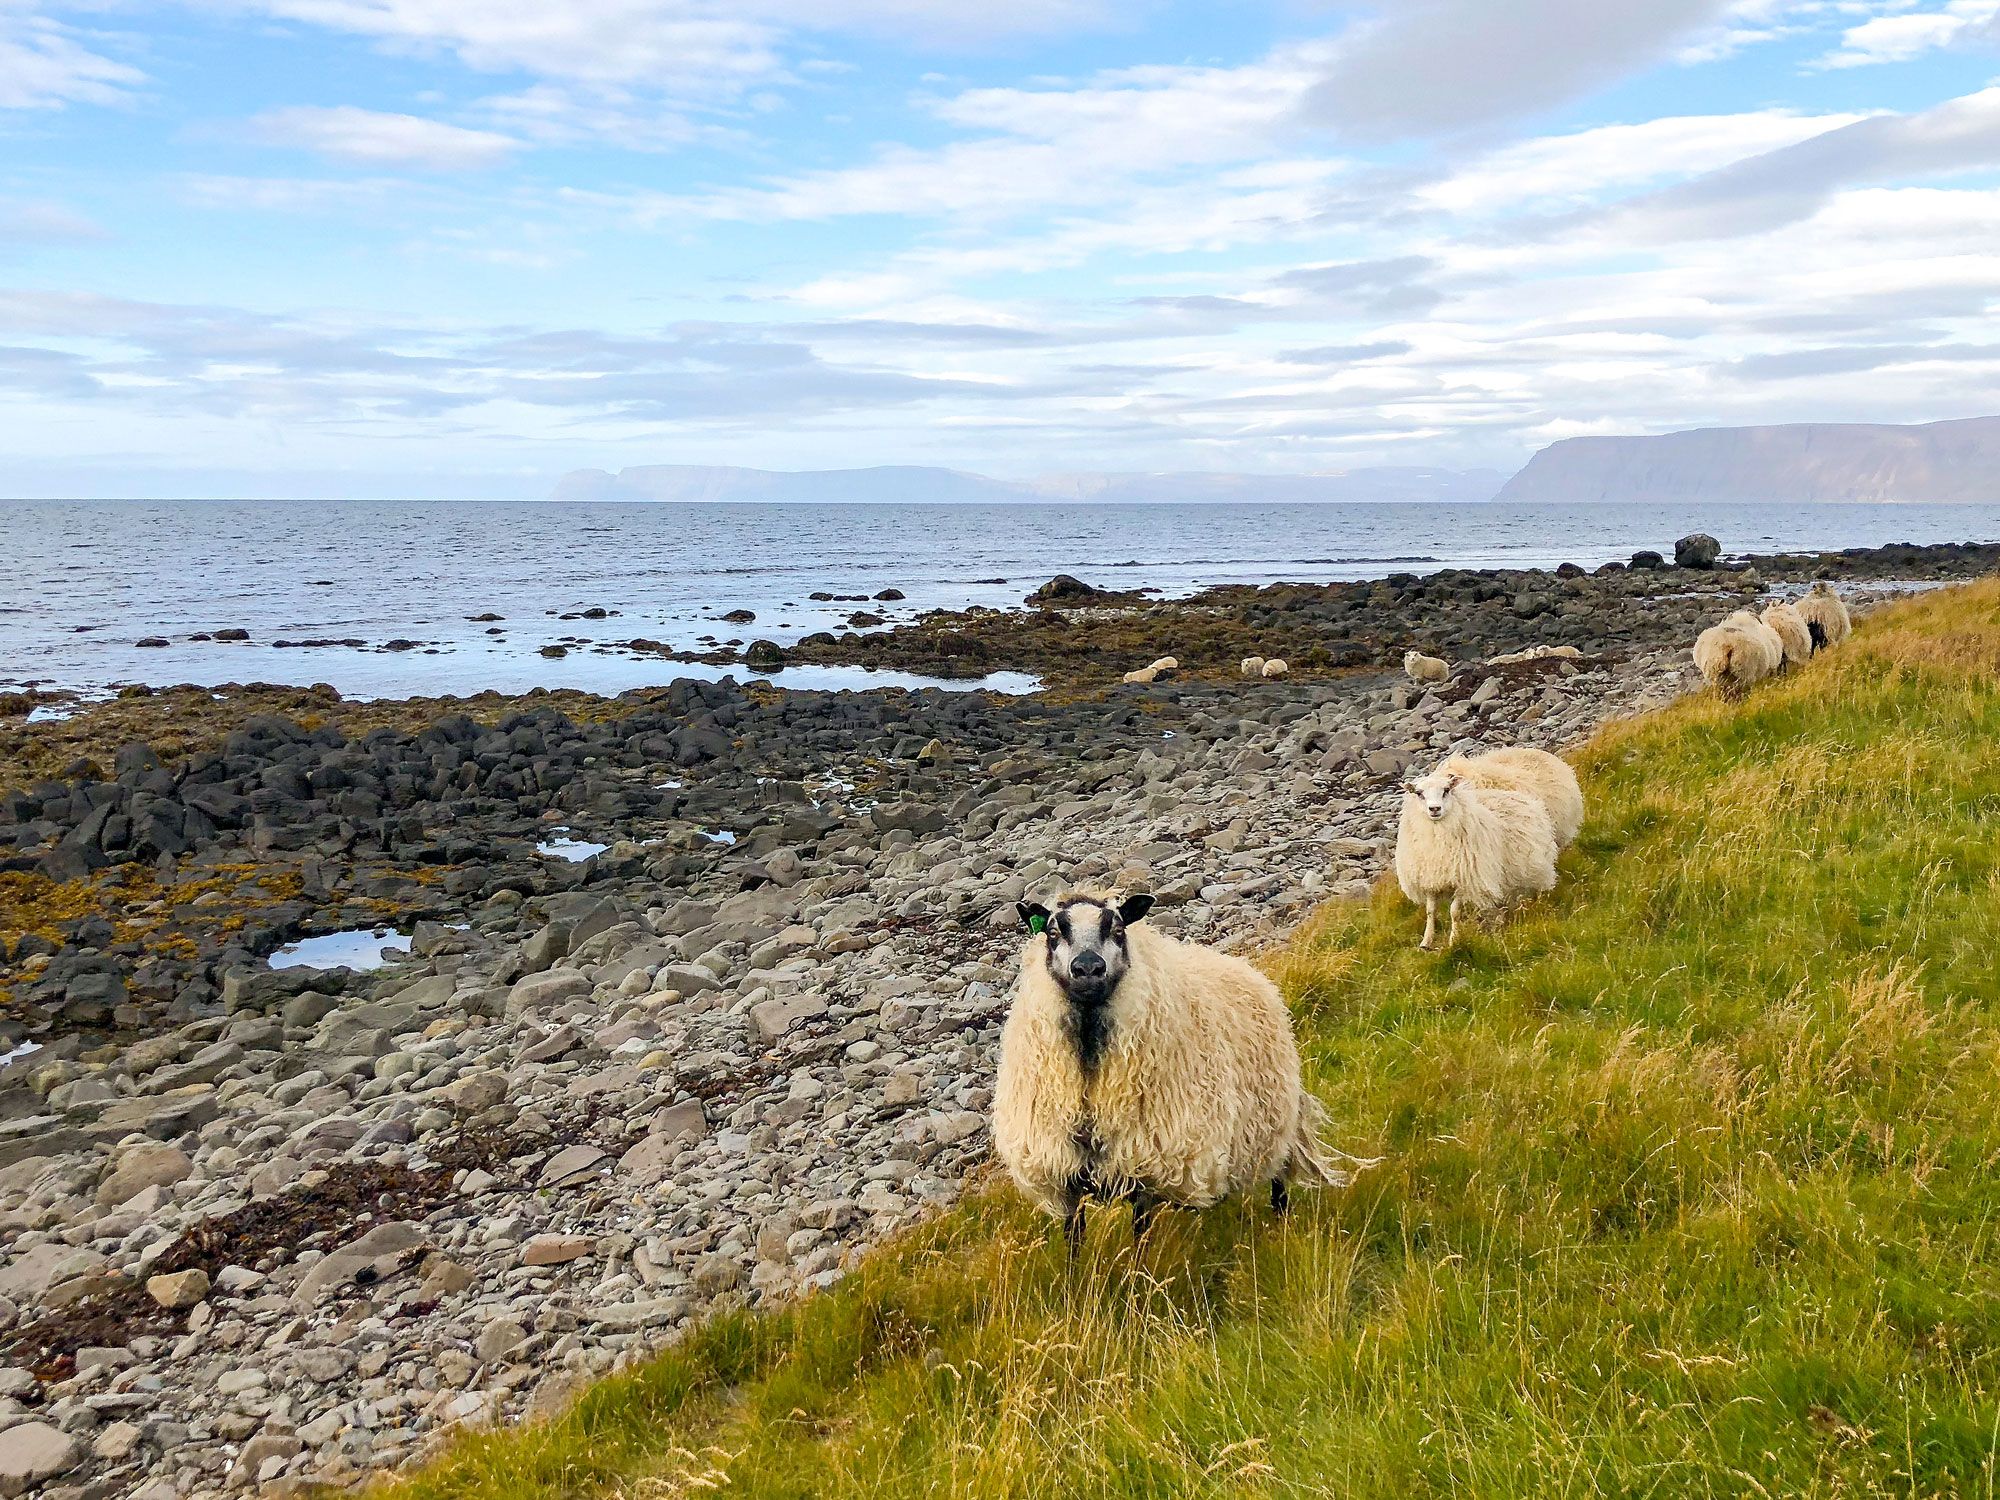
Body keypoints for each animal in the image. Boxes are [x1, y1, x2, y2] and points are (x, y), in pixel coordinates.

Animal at [994, 892, 1352, 1252]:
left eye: (1118, 929)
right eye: (1053, 933)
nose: (1088, 968)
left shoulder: (1144, 1166)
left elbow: (1140, 1236)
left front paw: (1137, 1269)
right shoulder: (1064, 1177)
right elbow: (1074, 1241)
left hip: (1273, 1119)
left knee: (1278, 1179)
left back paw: (1281, 1224)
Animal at [1394, 769, 1559, 950]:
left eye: (1446, 790)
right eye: (1419, 793)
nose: (1435, 809)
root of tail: (1525, 798)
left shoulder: (1464, 880)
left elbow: (1454, 912)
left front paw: (1454, 940)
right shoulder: (1430, 880)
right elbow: (1430, 912)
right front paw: (1426, 942)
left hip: (1529, 867)